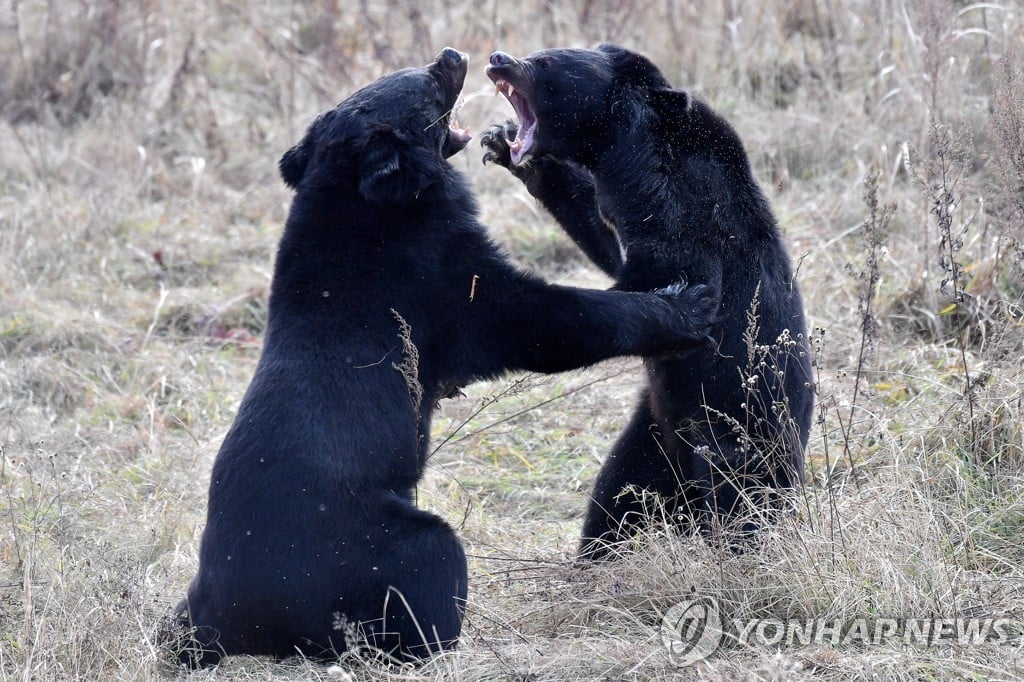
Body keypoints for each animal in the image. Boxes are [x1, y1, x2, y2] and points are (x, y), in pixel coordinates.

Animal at [167, 47, 716, 663]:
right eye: (428, 88)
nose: (454, 55)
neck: (356, 198)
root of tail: (221, 615)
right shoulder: (443, 282)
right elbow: (543, 320)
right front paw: (689, 306)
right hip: (370, 549)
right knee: (431, 569)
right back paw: (442, 645)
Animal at [481, 45, 815, 561]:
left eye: (546, 62)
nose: (499, 58)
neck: (619, 142)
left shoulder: (674, 202)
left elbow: (658, 271)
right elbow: (607, 245)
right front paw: (505, 146)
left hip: (737, 431)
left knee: (739, 503)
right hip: (656, 433)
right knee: (618, 495)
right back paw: (594, 560)